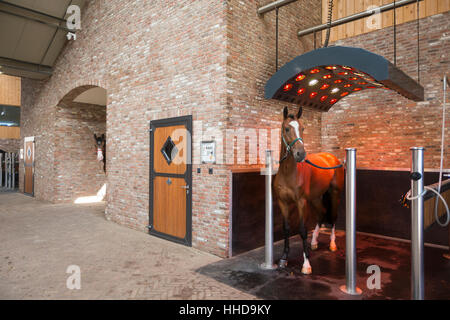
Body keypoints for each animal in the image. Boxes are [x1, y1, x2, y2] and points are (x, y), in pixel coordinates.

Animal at [270, 105, 344, 276]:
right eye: (287, 128)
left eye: (302, 128)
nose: (300, 154)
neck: (288, 172)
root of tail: (332, 158)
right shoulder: (283, 202)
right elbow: (286, 228)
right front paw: (284, 258)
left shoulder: (301, 202)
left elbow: (303, 230)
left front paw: (306, 264)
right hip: (316, 198)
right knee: (322, 213)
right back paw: (314, 242)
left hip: (334, 194)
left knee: (333, 216)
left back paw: (332, 244)